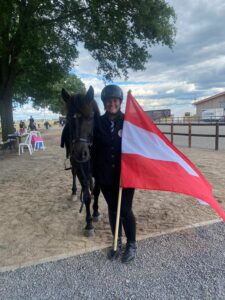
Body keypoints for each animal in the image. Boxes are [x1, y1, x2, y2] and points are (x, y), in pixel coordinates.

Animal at [61, 85, 100, 236]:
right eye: (68, 118)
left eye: (90, 117)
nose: (80, 153)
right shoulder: (78, 165)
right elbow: (87, 195)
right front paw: (88, 224)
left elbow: (95, 190)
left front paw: (95, 212)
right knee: (75, 175)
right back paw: (73, 193)